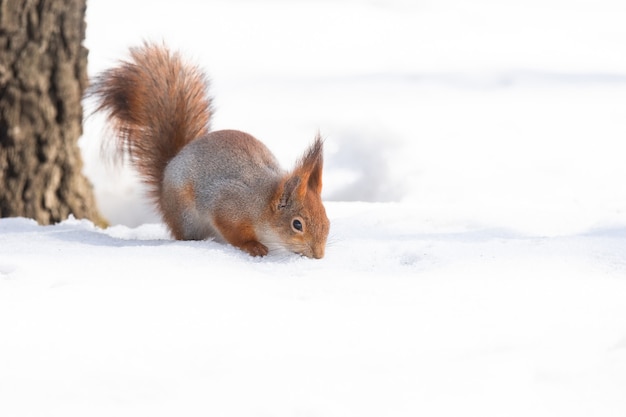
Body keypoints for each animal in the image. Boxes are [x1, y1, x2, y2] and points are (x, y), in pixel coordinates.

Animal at [91, 42, 332, 256]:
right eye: (297, 224)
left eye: (327, 220)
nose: (319, 255)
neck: (262, 204)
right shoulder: (228, 206)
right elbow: (233, 231)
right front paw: (253, 247)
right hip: (186, 215)